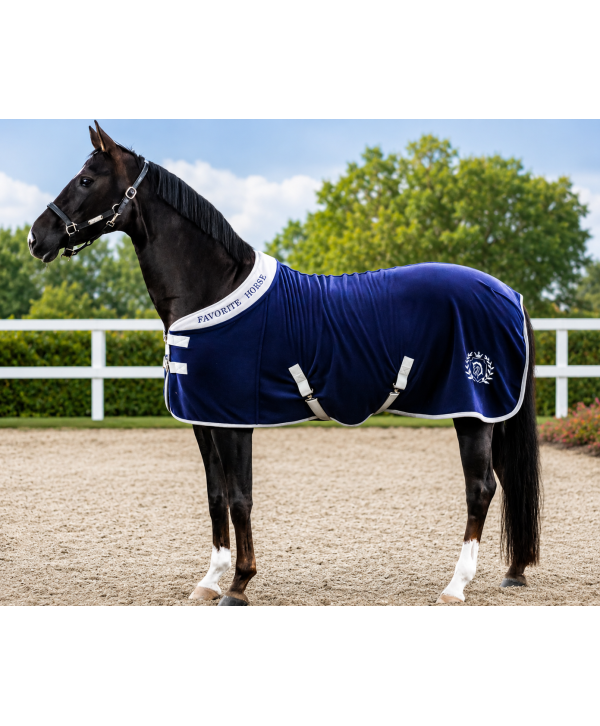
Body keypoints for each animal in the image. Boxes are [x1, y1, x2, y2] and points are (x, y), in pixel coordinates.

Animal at [27, 122, 541, 606]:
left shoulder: (235, 421)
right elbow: (216, 496)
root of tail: (507, 292)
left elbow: (240, 499)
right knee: (507, 483)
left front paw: (239, 584)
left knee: (481, 488)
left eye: (86, 179)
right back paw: (513, 572)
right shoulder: (204, 419)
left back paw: (456, 585)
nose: (37, 238)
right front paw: (210, 580)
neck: (212, 289)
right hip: (490, 413)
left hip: (472, 412)